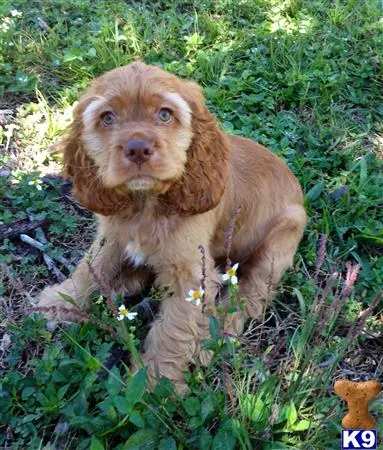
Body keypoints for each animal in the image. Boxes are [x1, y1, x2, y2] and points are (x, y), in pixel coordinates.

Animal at [37, 62, 308, 390]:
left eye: (165, 114)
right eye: (108, 118)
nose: (138, 149)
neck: (145, 204)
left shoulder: (190, 275)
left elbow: (172, 330)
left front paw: (155, 384)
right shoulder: (111, 236)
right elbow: (90, 267)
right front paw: (61, 301)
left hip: (281, 239)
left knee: (249, 297)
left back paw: (209, 340)